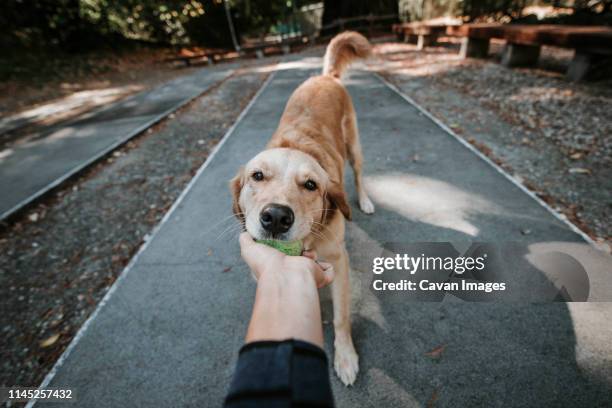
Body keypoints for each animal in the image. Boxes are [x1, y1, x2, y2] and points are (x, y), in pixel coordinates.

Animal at [230, 31, 372, 386]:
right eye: (257, 176)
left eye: (310, 185)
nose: (276, 218)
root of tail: (326, 76)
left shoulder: (340, 262)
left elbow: (341, 318)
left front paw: (345, 357)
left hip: (354, 145)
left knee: (360, 174)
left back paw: (365, 200)